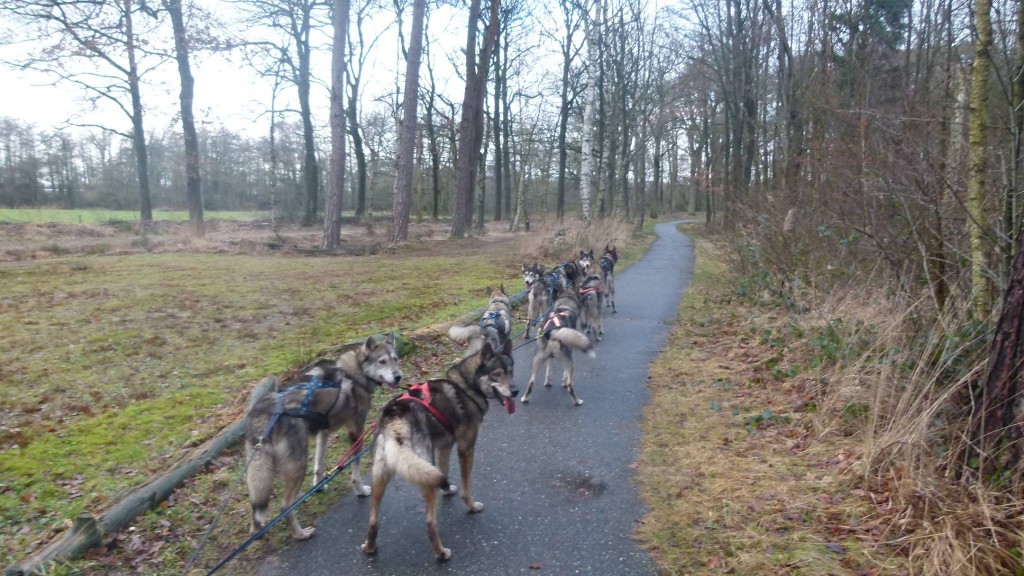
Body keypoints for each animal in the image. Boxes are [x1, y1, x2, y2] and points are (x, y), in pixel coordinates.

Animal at [244, 332, 403, 537]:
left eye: (395, 359)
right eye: (382, 361)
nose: (398, 376)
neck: (355, 375)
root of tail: (265, 412)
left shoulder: (324, 432)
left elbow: (319, 465)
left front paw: (318, 487)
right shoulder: (355, 431)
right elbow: (356, 470)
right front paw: (360, 490)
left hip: (259, 471)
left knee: (255, 508)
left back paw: (257, 532)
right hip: (298, 465)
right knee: (285, 506)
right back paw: (301, 534)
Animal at [362, 342, 520, 557]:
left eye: (510, 372)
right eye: (496, 374)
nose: (515, 391)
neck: (467, 387)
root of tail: (395, 418)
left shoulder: (444, 447)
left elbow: (443, 472)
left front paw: (446, 489)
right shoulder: (465, 449)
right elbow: (466, 487)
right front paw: (471, 506)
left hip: (382, 477)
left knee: (372, 520)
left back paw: (369, 547)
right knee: (430, 522)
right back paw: (441, 553)